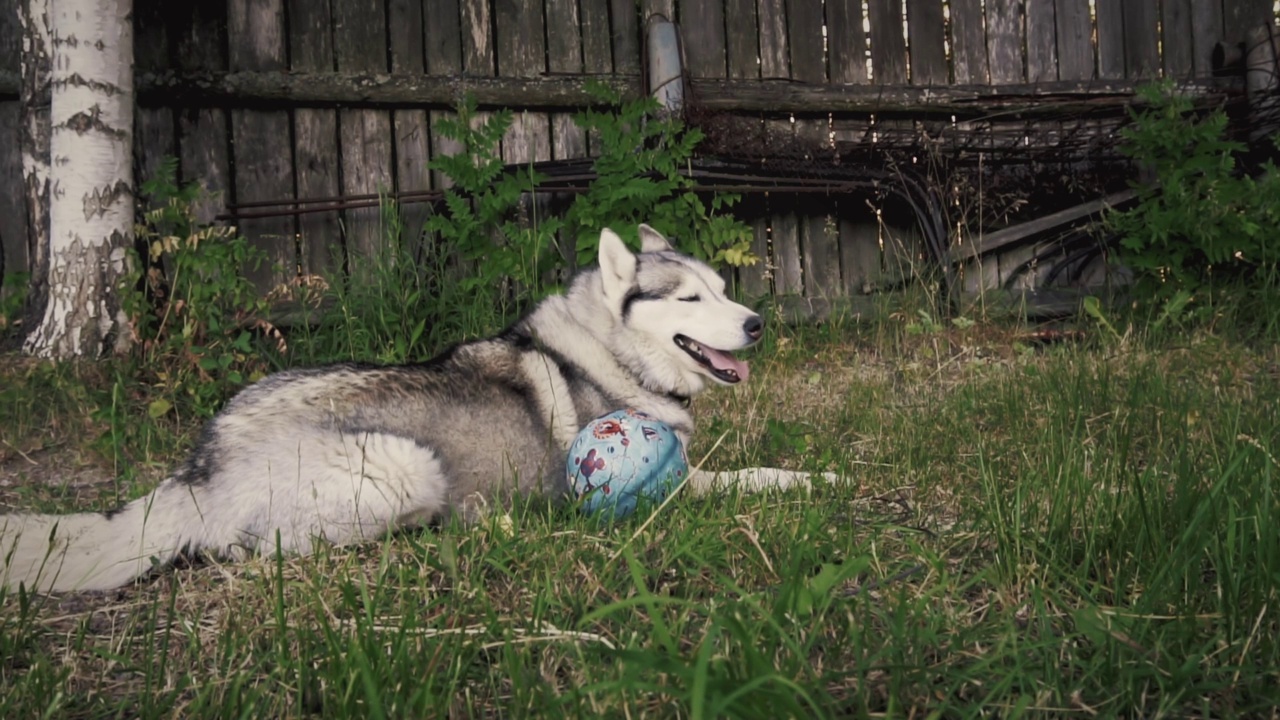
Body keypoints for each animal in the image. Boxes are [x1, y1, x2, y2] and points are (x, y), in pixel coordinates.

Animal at [2, 224, 819, 589]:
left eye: (723, 289)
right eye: (690, 300)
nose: (757, 323)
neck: (610, 351)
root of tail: (203, 464)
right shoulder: (679, 487)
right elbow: (757, 476)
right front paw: (818, 480)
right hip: (406, 468)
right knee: (273, 548)